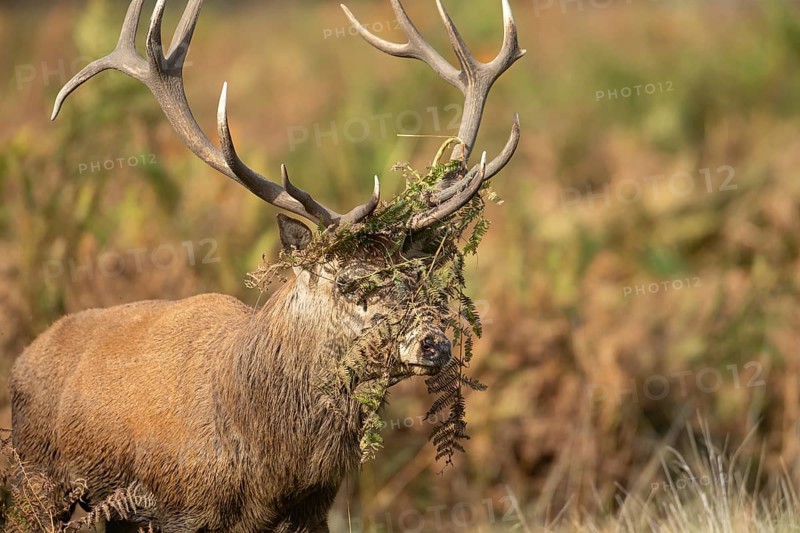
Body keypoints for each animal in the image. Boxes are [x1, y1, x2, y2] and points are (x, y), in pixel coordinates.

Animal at [9, 0, 524, 531]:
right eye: (350, 284)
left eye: (417, 278)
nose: (434, 343)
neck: (267, 470)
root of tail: (25, 356)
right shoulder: (176, 509)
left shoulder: (311, 512)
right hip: (36, 482)